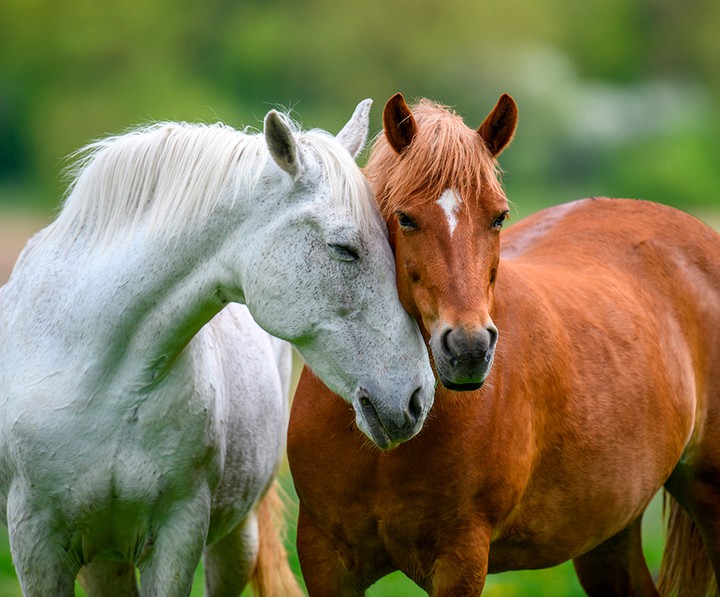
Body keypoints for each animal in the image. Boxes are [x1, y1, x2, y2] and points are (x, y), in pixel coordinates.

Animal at [0, 99, 435, 597]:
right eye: (345, 248)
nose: (418, 397)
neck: (98, 375)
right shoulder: (36, 545)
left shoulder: (178, 534)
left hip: (232, 542)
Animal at [287, 92, 720, 596]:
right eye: (405, 218)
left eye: (498, 217)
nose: (468, 349)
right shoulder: (323, 557)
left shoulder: (461, 557)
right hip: (609, 534)